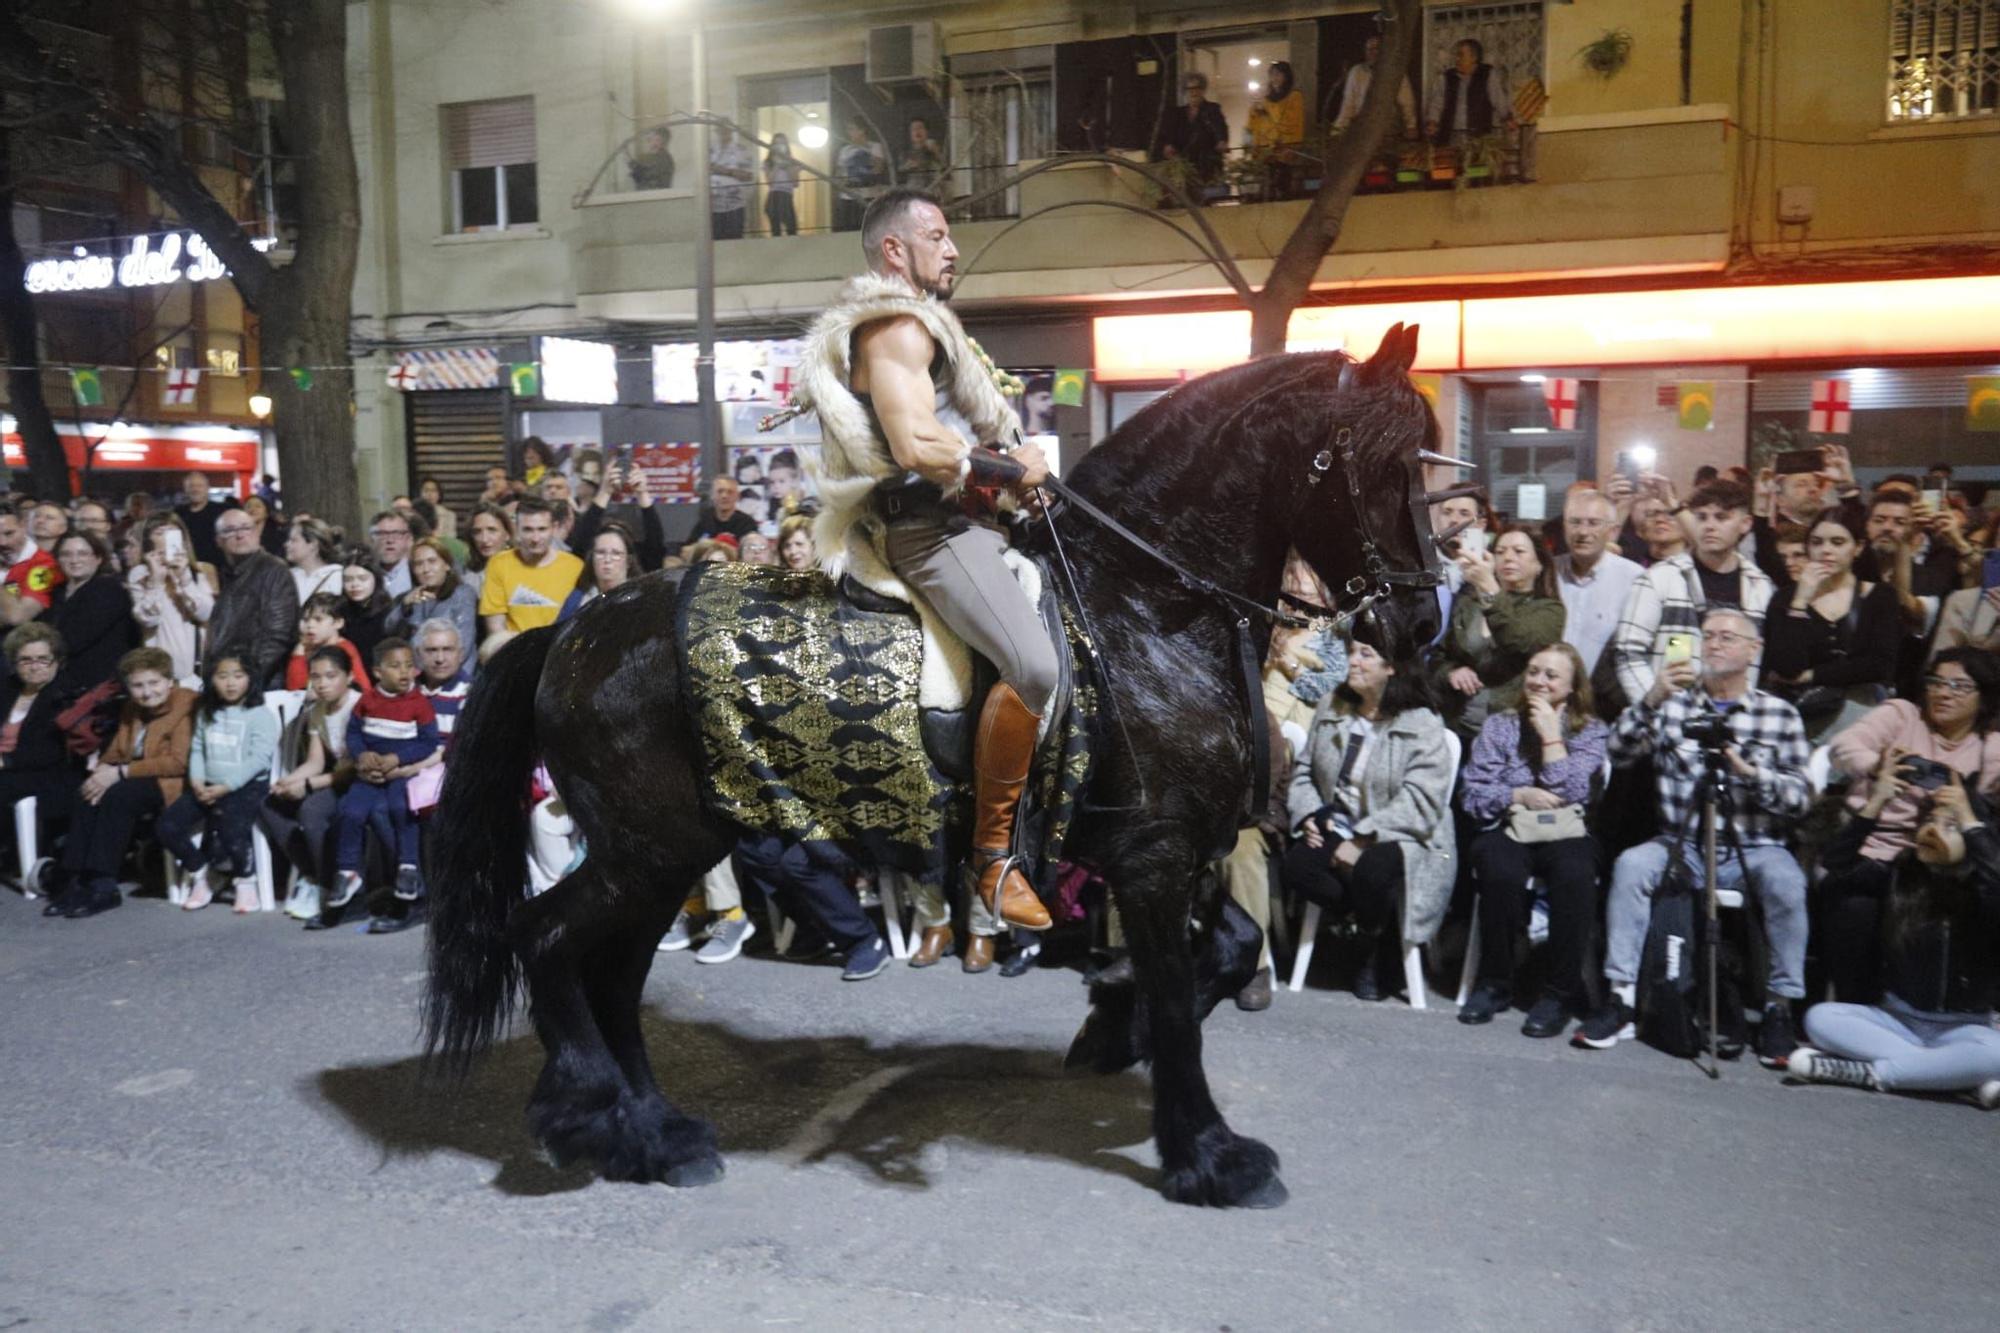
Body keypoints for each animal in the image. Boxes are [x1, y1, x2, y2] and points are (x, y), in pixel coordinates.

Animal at [430, 324, 1448, 1200]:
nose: (1421, 624)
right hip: (645, 849)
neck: (1149, 609)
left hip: (666, 850)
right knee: (545, 938)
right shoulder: (1155, 855)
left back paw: (653, 1131)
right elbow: (1177, 997)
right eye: (1388, 464)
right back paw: (591, 1116)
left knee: (609, 973)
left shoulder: (1182, 847)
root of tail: (570, 634)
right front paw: (1208, 1152)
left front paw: (1108, 1027)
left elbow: (1232, 949)